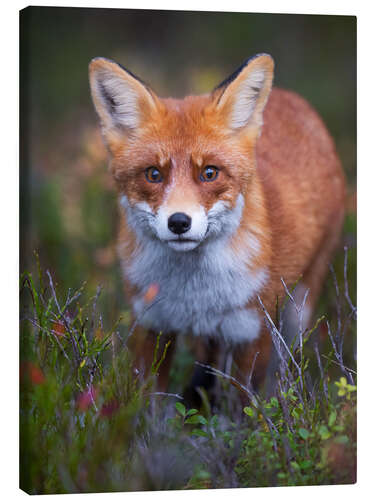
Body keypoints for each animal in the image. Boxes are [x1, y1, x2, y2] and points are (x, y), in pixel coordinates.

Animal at [88, 53, 346, 398]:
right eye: (153, 174)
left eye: (209, 173)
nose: (179, 222)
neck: (194, 295)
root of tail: (292, 97)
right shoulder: (151, 325)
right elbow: (149, 401)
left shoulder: (251, 332)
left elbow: (241, 407)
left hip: (300, 303)